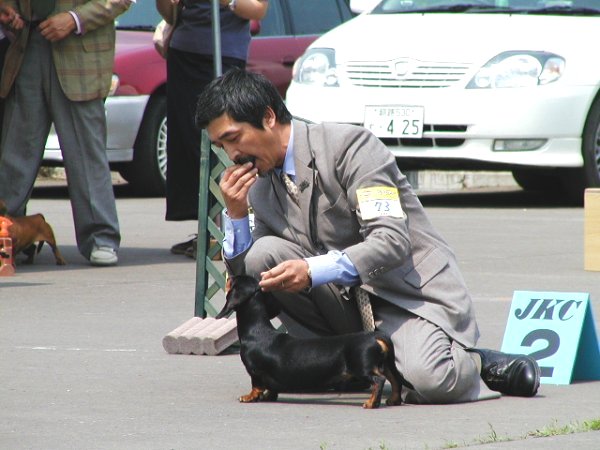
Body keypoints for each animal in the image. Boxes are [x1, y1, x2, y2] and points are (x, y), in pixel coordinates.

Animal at [216, 275, 413, 409]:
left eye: (233, 281)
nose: (230, 275)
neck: (256, 331)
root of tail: (375, 336)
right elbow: (271, 389)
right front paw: (268, 396)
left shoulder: (254, 370)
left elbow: (256, 386)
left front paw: (249, 397)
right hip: (385, 365)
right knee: (395, 380)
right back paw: (393, 400)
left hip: (362, 367)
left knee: (379, 381)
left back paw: (371, 403)